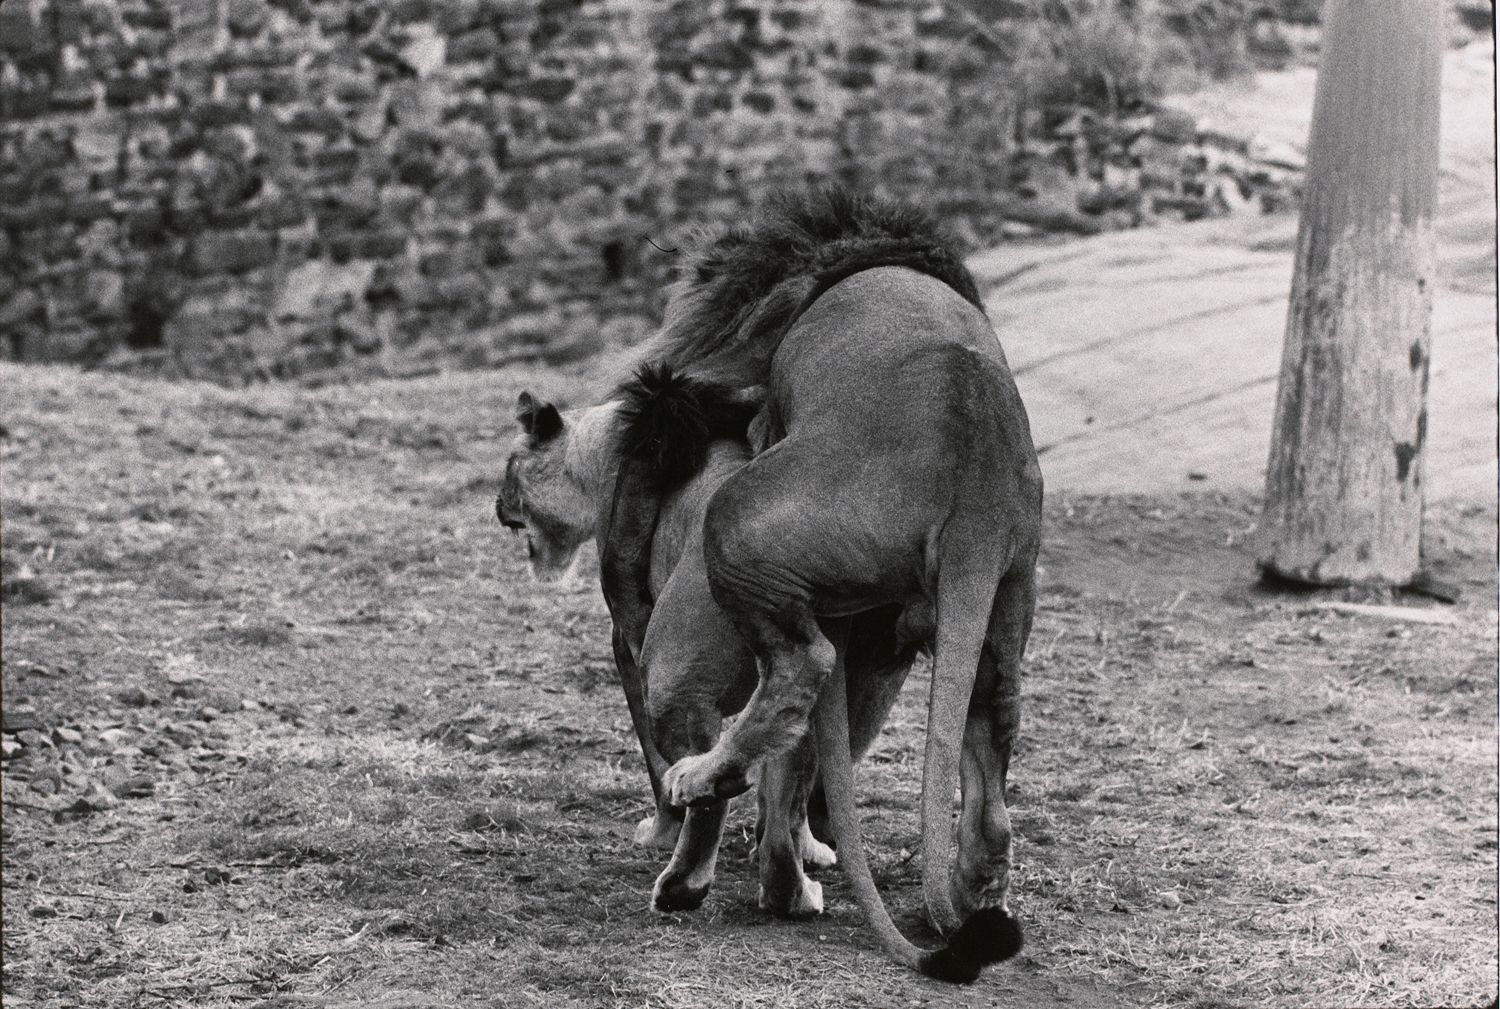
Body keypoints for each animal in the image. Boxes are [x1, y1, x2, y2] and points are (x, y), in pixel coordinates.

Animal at [600, 190, 1041, 981]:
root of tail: (977, 469)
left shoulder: (744, 394)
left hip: (739, 513)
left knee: (801, 671)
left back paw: (703, 789)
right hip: (1004, 598)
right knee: (988, 749)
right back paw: (971, 895)